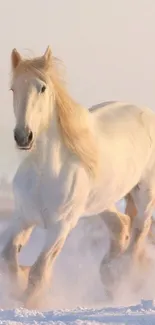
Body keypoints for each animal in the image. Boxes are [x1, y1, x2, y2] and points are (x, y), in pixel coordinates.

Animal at [1, 45, 155, 306]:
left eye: (42, 88)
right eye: (13, 88)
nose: (23, 136)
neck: (44, 173)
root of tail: (146, 112)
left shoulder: (61, 226)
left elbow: (39, 271)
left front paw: (29, 303)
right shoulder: (23, 217)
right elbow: (9, 258)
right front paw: (19, 286)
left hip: (145, 193)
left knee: (138, 233)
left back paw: (121, 279)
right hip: (102, 200)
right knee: (121, 225)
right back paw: (109, 275)